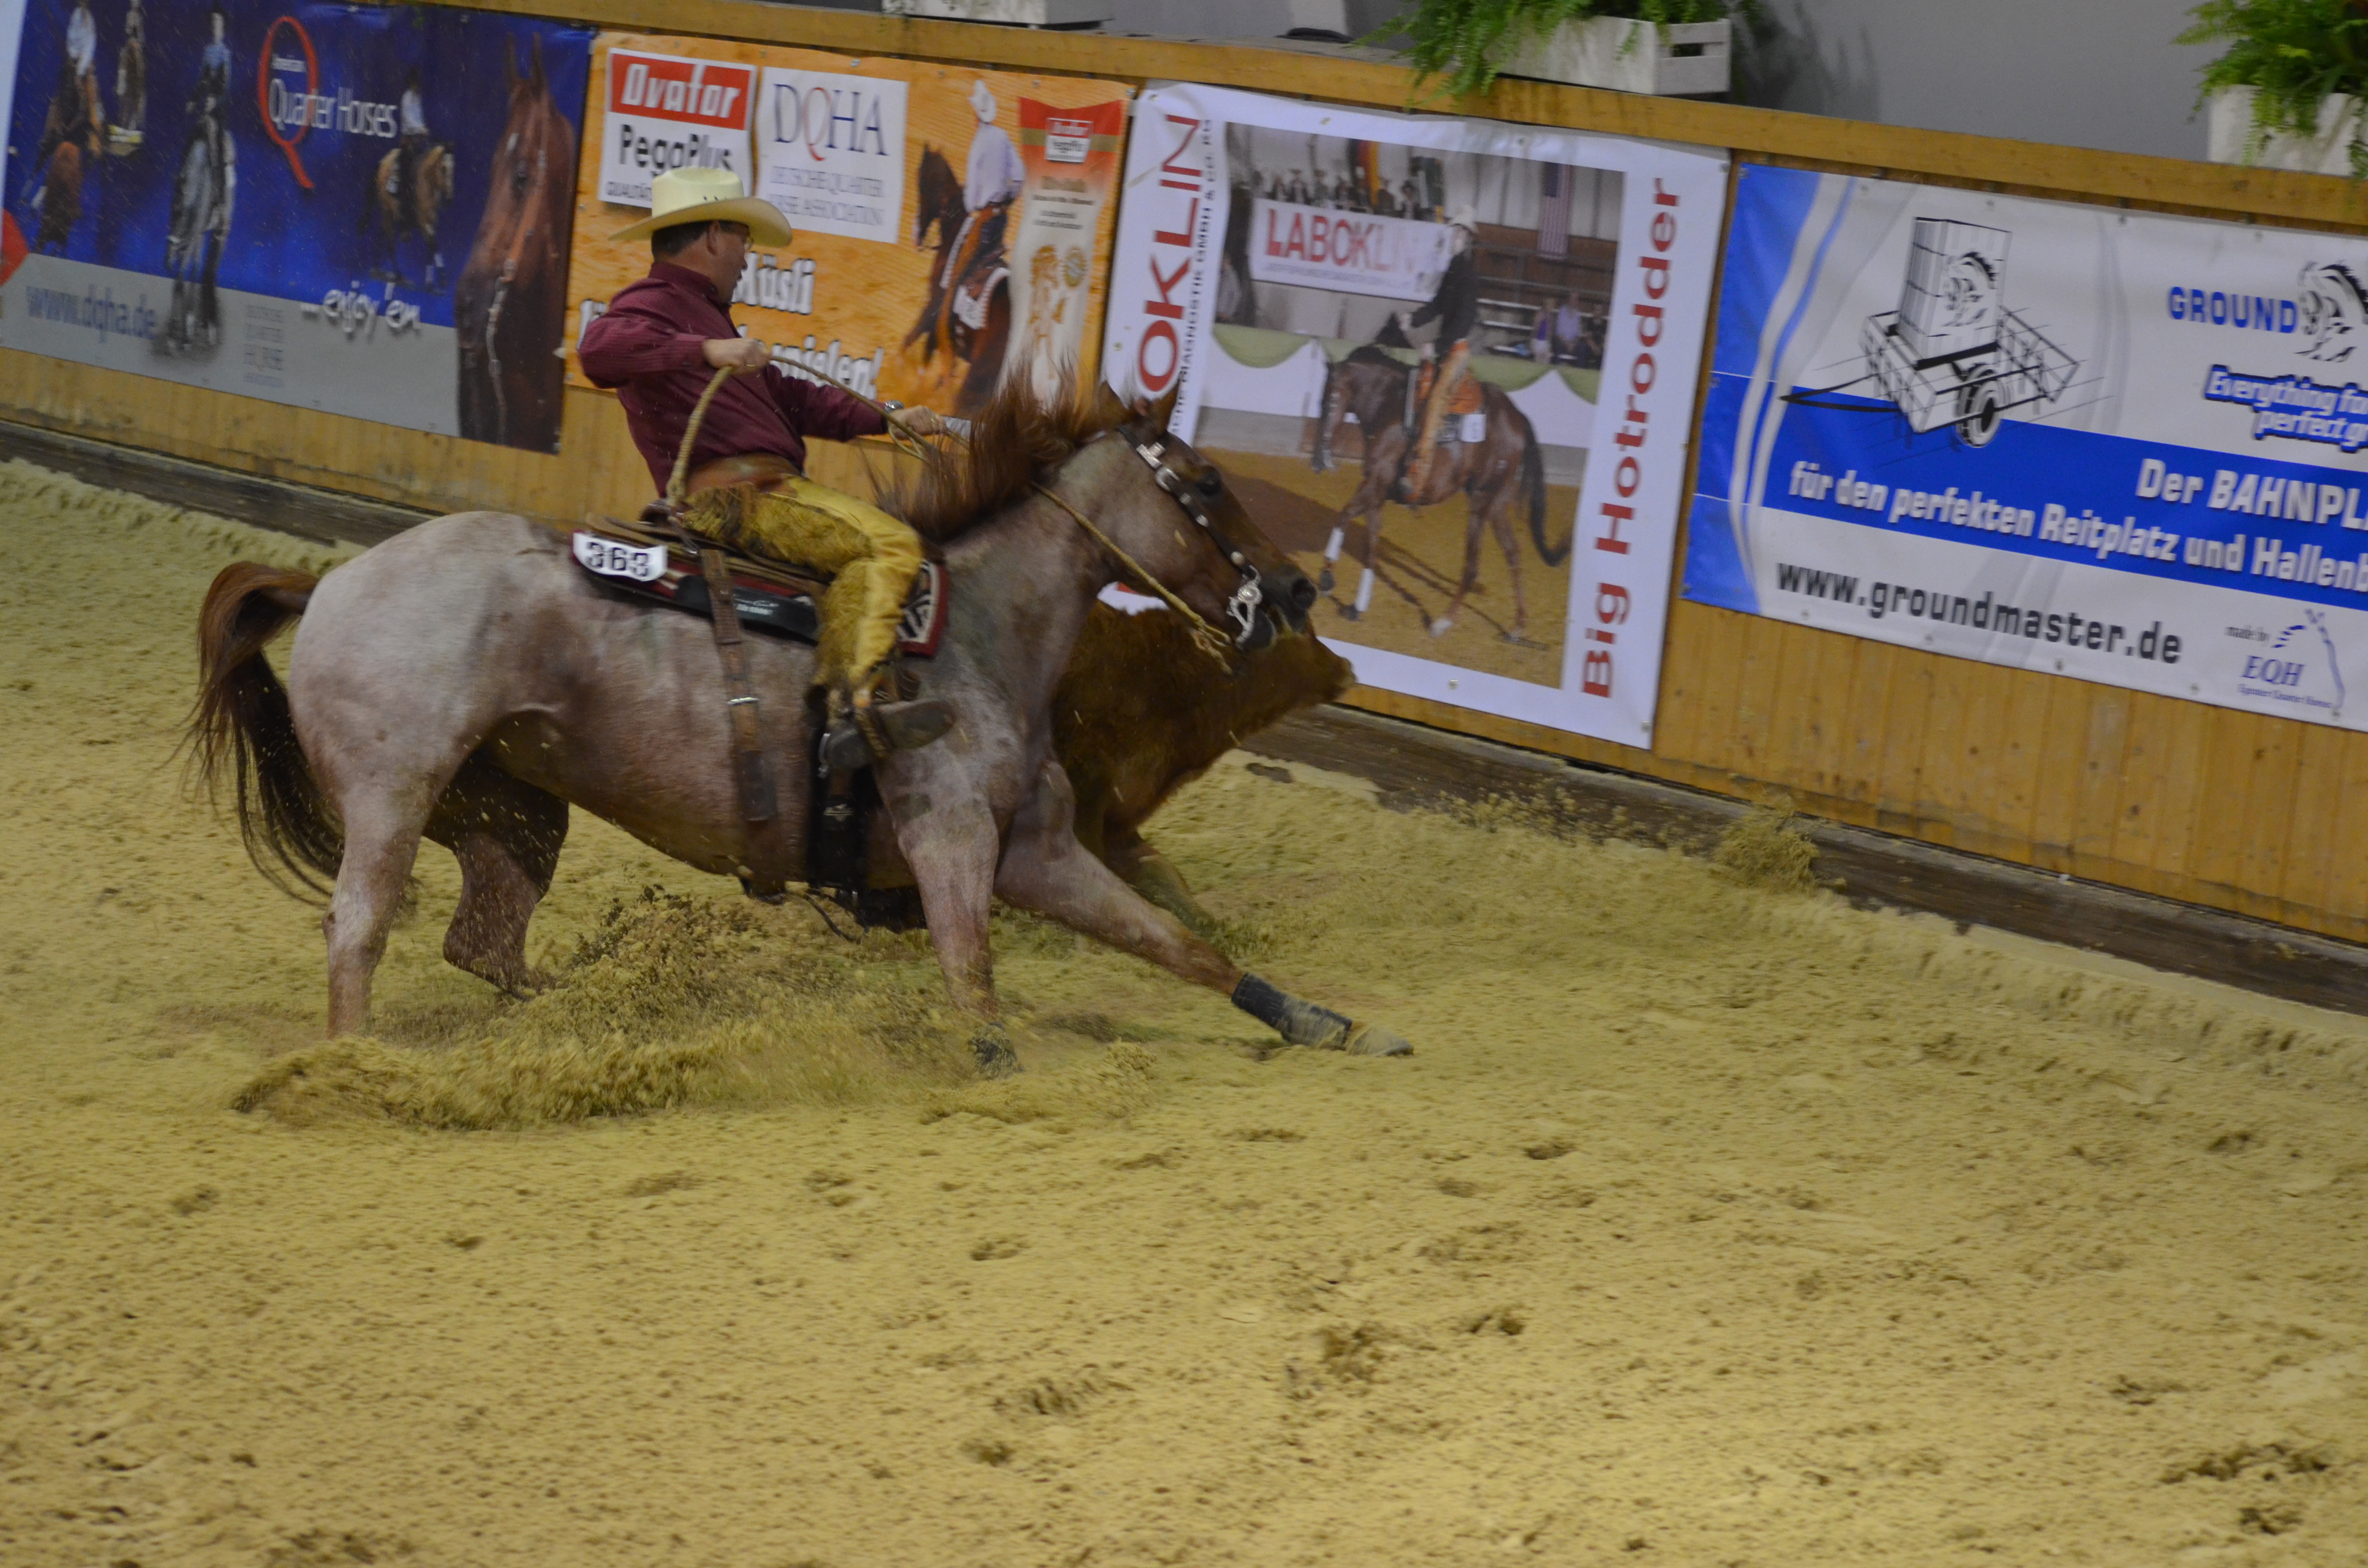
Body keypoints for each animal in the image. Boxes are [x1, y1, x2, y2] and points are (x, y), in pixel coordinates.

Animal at [194, 381, 1402, 1075]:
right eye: (1206, 481)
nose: (1295, 589)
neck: (984, 631)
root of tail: (328, 578)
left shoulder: (1043, 851)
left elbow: (1182, 946)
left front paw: (1327, 1024)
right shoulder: (951, 843)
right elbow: (975, 986)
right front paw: (1000, 1070)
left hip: (513, 809)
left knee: (484, 943)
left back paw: (599, 1021)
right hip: (392, 797)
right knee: (359, 933)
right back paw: (357, 1070)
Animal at [1307, 341, 1563, 644]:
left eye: (1327, 402)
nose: (1317, 460)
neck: (1390, 407)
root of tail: (1518, 419)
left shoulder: (1375, 485)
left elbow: (1344, 517)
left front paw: (1327, 580)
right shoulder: (1377, 490)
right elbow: (1371, 544)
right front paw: (1358, 606)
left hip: (1481, 501)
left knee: (1472, 565)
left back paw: (1443, 622)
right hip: (1497, 503)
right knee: (1513, 552)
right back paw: (1518, 627)